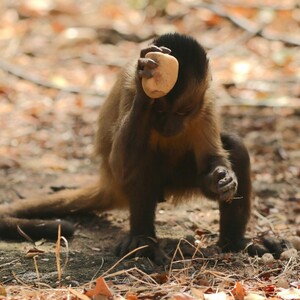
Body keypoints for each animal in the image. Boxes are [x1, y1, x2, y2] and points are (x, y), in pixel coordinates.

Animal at [0, 32, 286, 262]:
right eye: (159, 110)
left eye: (182, 112)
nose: (169, 126)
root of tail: (107, 184)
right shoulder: (129, 90)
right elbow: (122, 163)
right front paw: (144, 89)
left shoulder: (207, 102)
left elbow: (212, 160)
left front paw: (221, 178)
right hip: (126, 181)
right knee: (139, 162)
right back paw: (143, 241)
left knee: (234, 146)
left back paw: (233, 244)